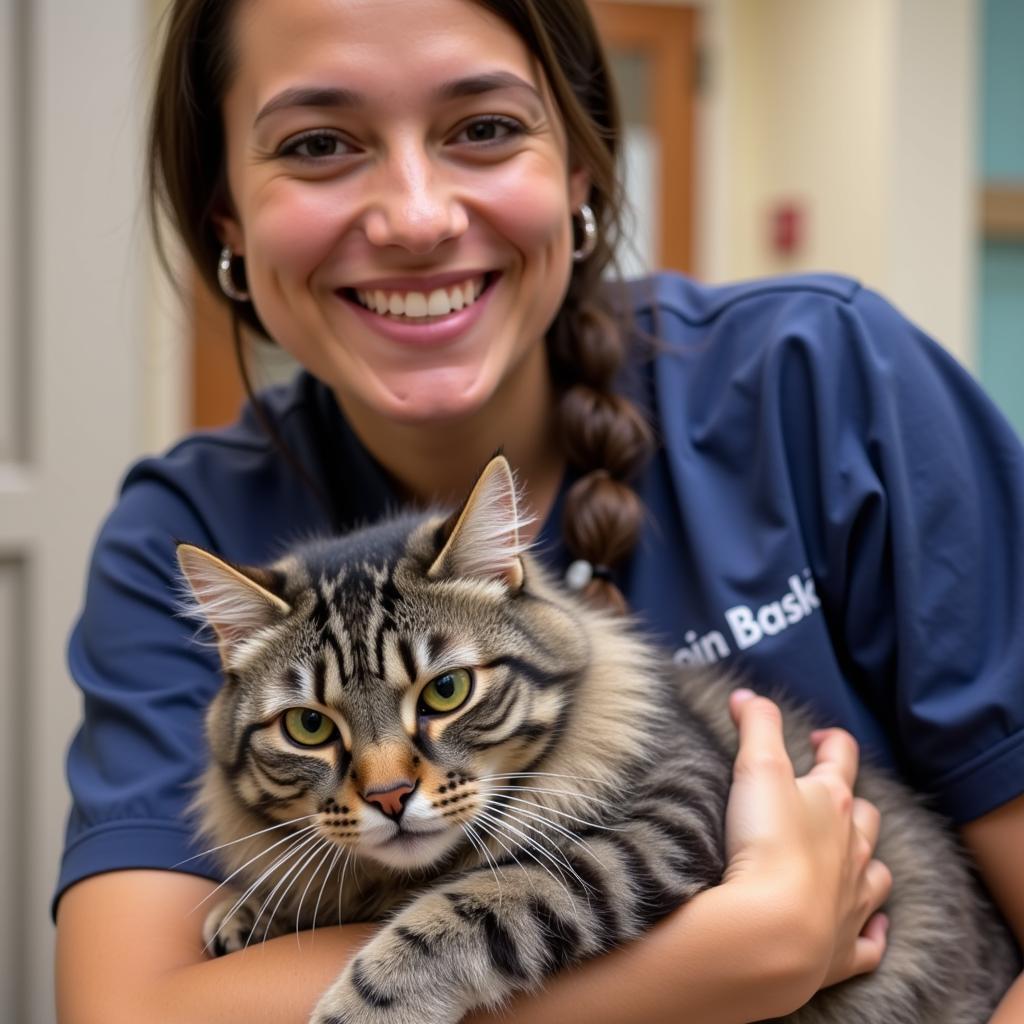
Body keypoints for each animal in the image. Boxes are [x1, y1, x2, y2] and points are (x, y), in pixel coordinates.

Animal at [176, 456, 1015, 1024]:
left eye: (446, 692)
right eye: (309, 726)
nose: (388, 797)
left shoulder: (651, 833)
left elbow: (465, 911)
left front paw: (364, 1002)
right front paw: (249, 913)